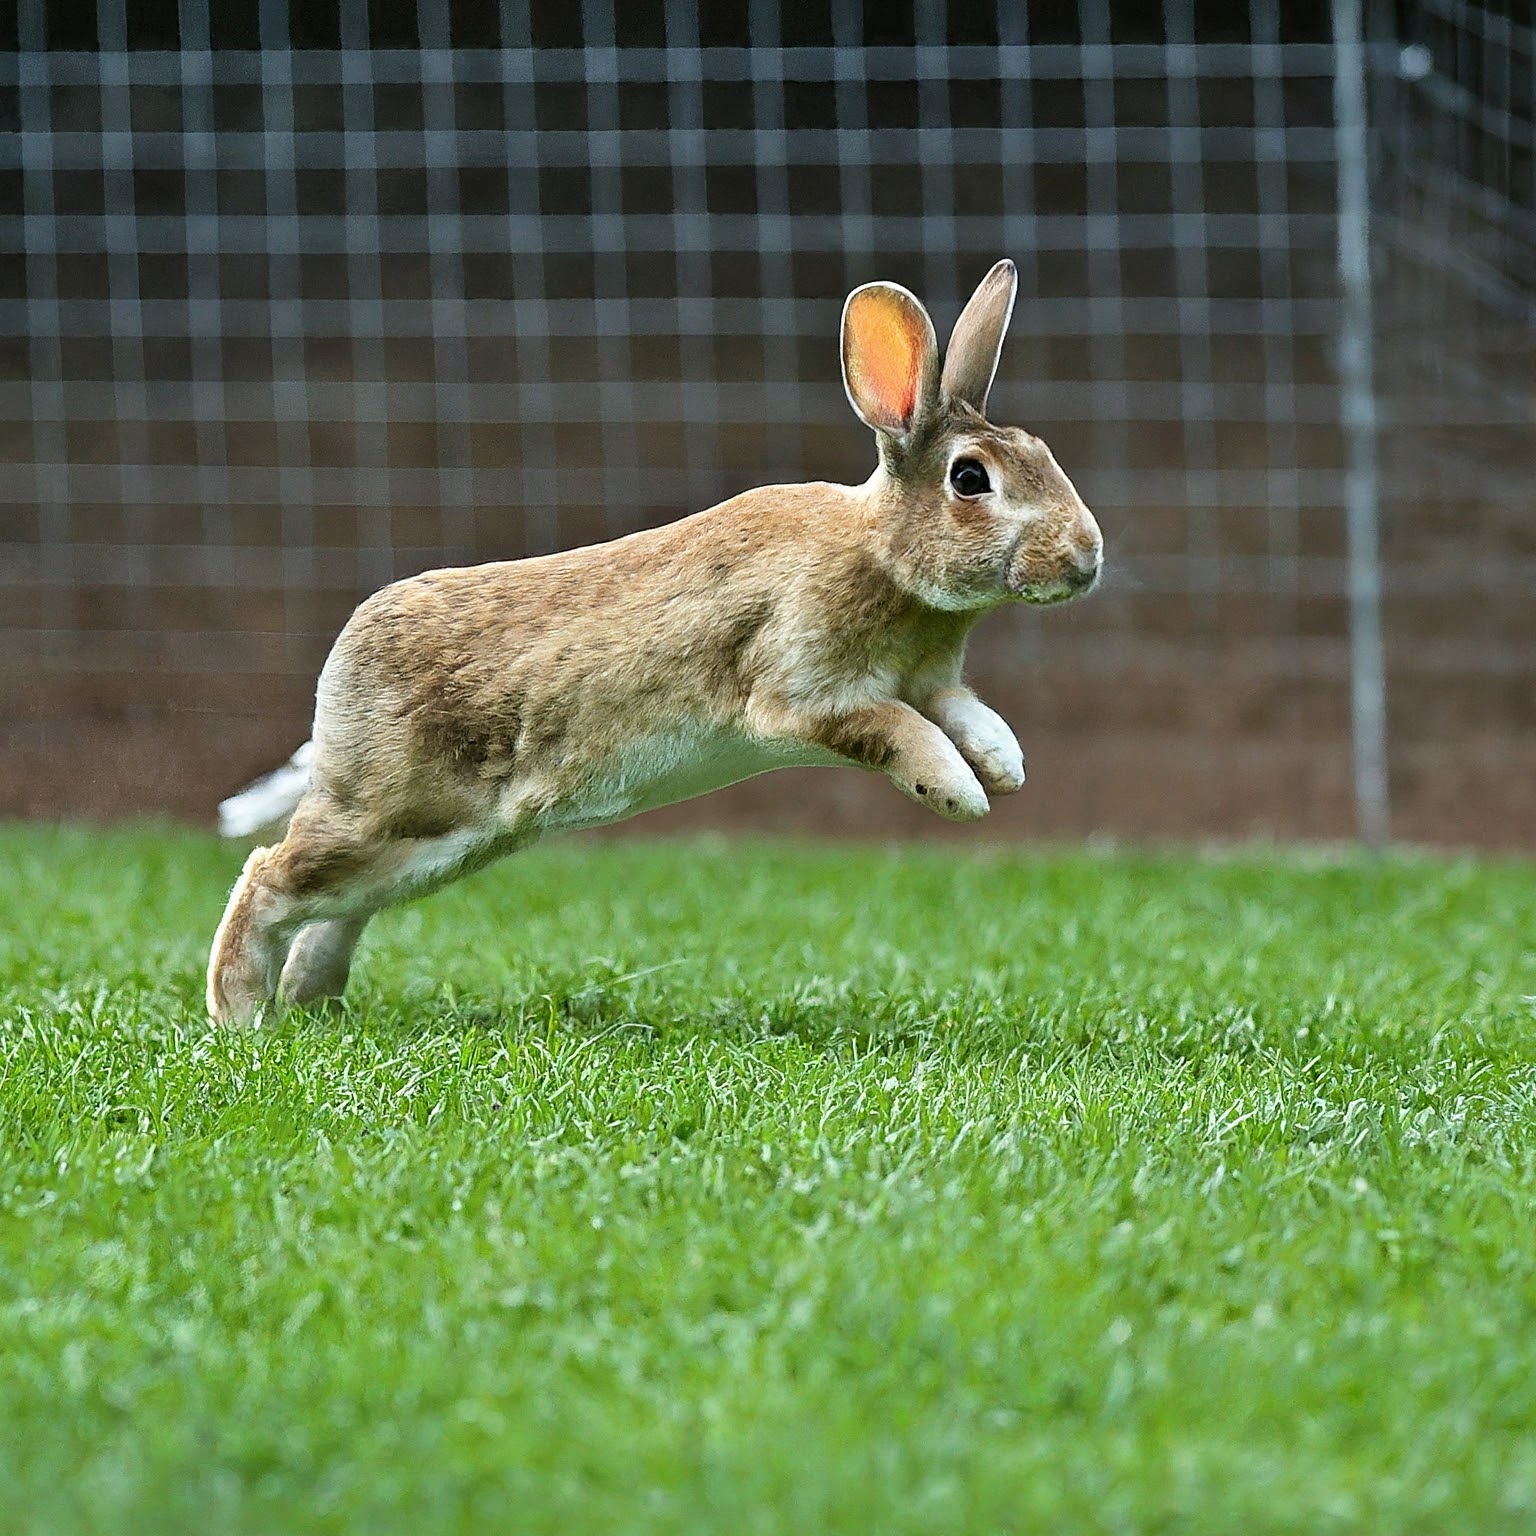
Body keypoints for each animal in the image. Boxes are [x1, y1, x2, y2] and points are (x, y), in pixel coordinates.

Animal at [210, 261, 1105, 1032]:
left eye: (1040, 453)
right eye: (970, 479)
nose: (1086, 559)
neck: (880, 549)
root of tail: (338, 679)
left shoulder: (932, 680)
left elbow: (965, 713)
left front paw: (1004, 769)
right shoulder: (804, 693)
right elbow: (898, 730)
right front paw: (956, 795)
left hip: (441, 847)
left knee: (338, 907)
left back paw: (313, 1002)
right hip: (390, 816)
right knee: (269, 875)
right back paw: (241, 1013)